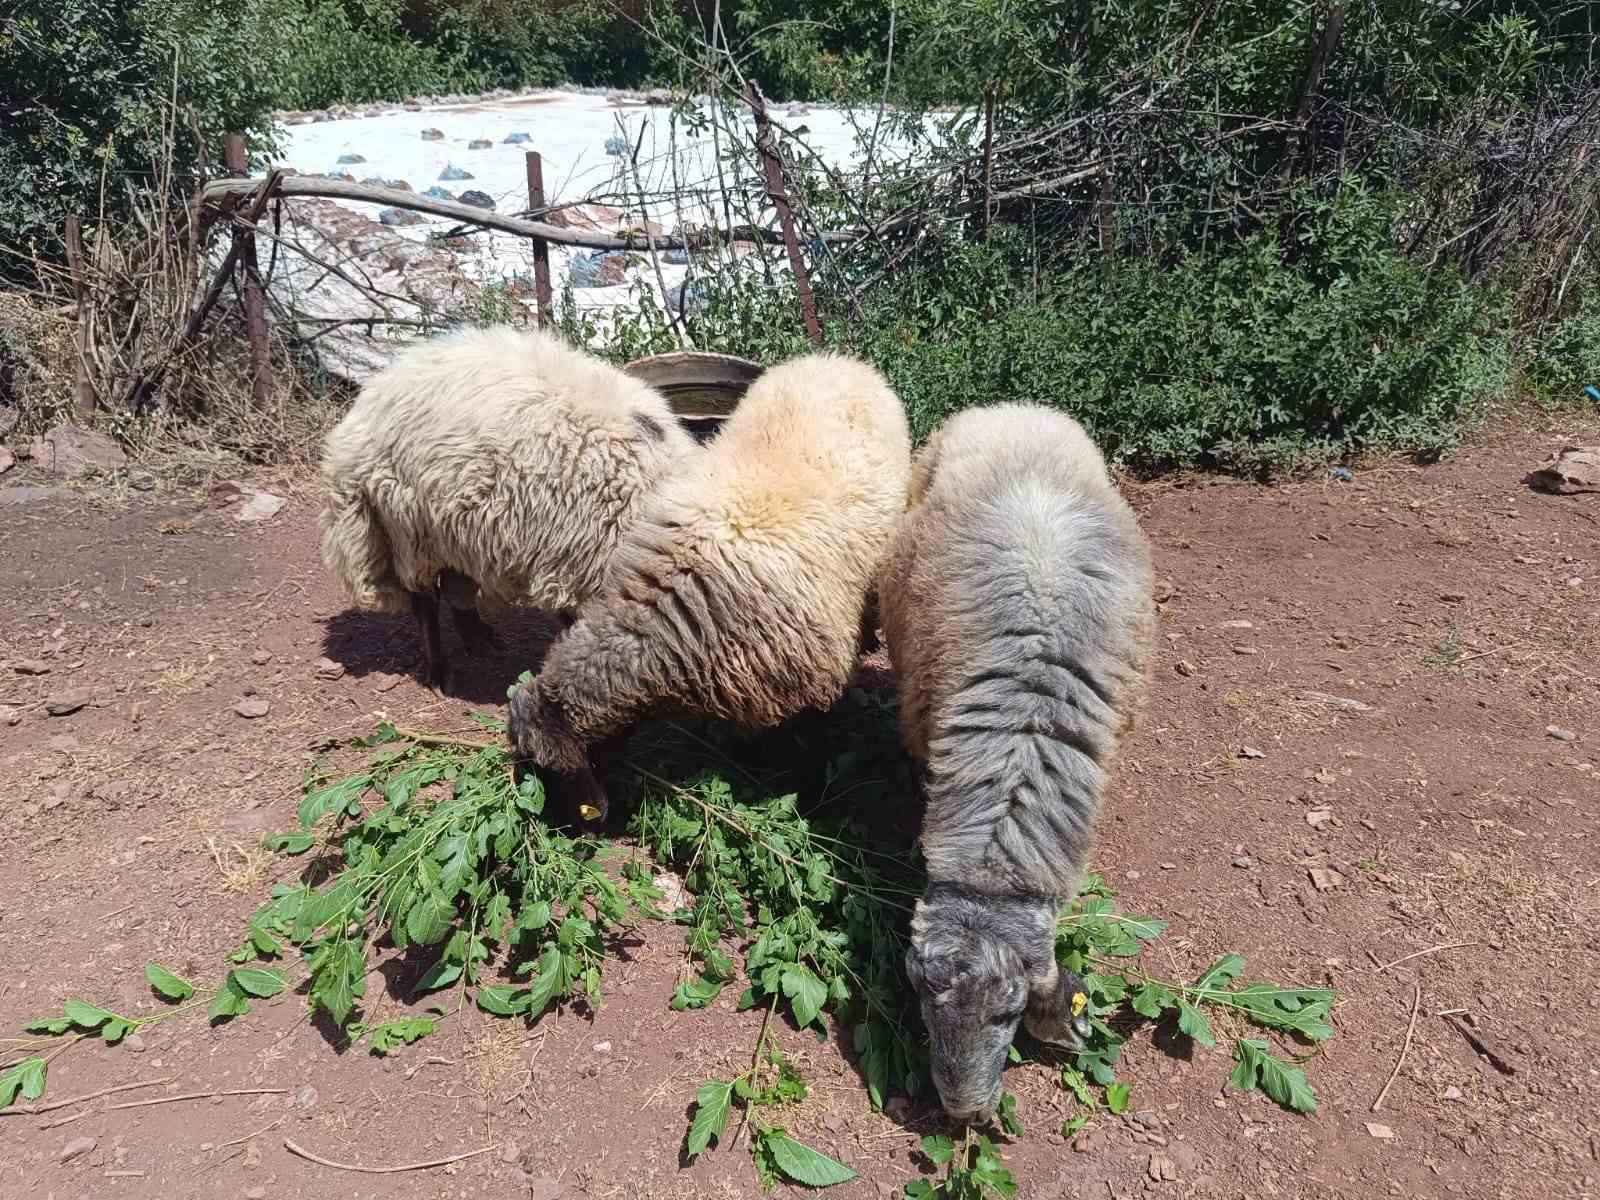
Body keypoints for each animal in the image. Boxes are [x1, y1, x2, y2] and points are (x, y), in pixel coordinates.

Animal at [316, 326, 694, 684]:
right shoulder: (577, 567)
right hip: (410, 530)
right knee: (425, 601)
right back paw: (439, 671)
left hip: (458, 522)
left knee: (456, 585)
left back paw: (479, 639)